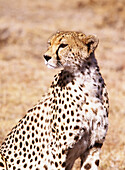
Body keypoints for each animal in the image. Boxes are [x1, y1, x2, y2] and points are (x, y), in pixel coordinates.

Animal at [0, 31, 108, 169]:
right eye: (49, 43)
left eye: (63, 45)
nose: (46, 57)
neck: (86, 78)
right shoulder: (58, 149)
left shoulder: (94, 145)